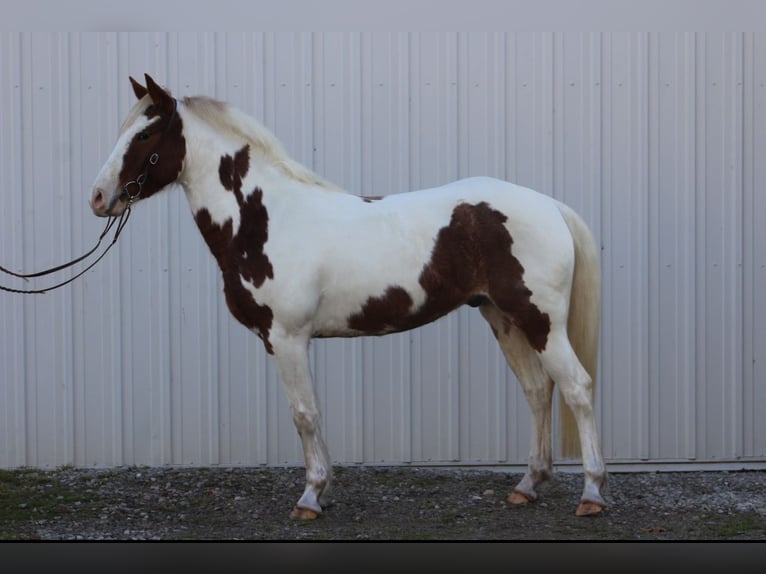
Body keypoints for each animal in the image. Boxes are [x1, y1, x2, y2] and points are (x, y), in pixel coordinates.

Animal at [90, 74, 608, 520]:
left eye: (144, 134)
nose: (98, 197)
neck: (266, 218)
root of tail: (550, 205)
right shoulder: (288, 341)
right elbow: (312, 413)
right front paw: (324, 491)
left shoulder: (287, 337)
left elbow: (304, 414)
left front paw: (310, 496)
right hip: (502, 317)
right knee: (538, 391)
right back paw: (527, 486)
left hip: (541, 320)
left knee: (577, 388)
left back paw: (592, 493)